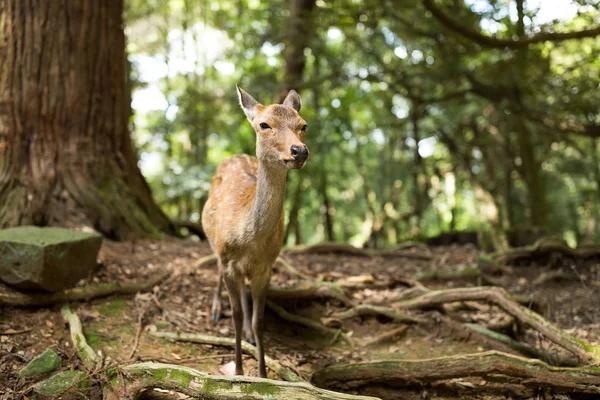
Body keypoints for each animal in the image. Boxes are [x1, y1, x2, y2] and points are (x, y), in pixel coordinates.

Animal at [202, 85, 310, 378]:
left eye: (303, 125)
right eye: (264, 124)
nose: (299, 151)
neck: (248, 240)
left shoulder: (266, 267)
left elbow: (260, 320)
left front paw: (262, 375)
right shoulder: (228, 260)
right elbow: (236, 315)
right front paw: (238, 370)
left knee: (244, 291)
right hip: (213, 242)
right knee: (217, 268)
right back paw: (215, 309)